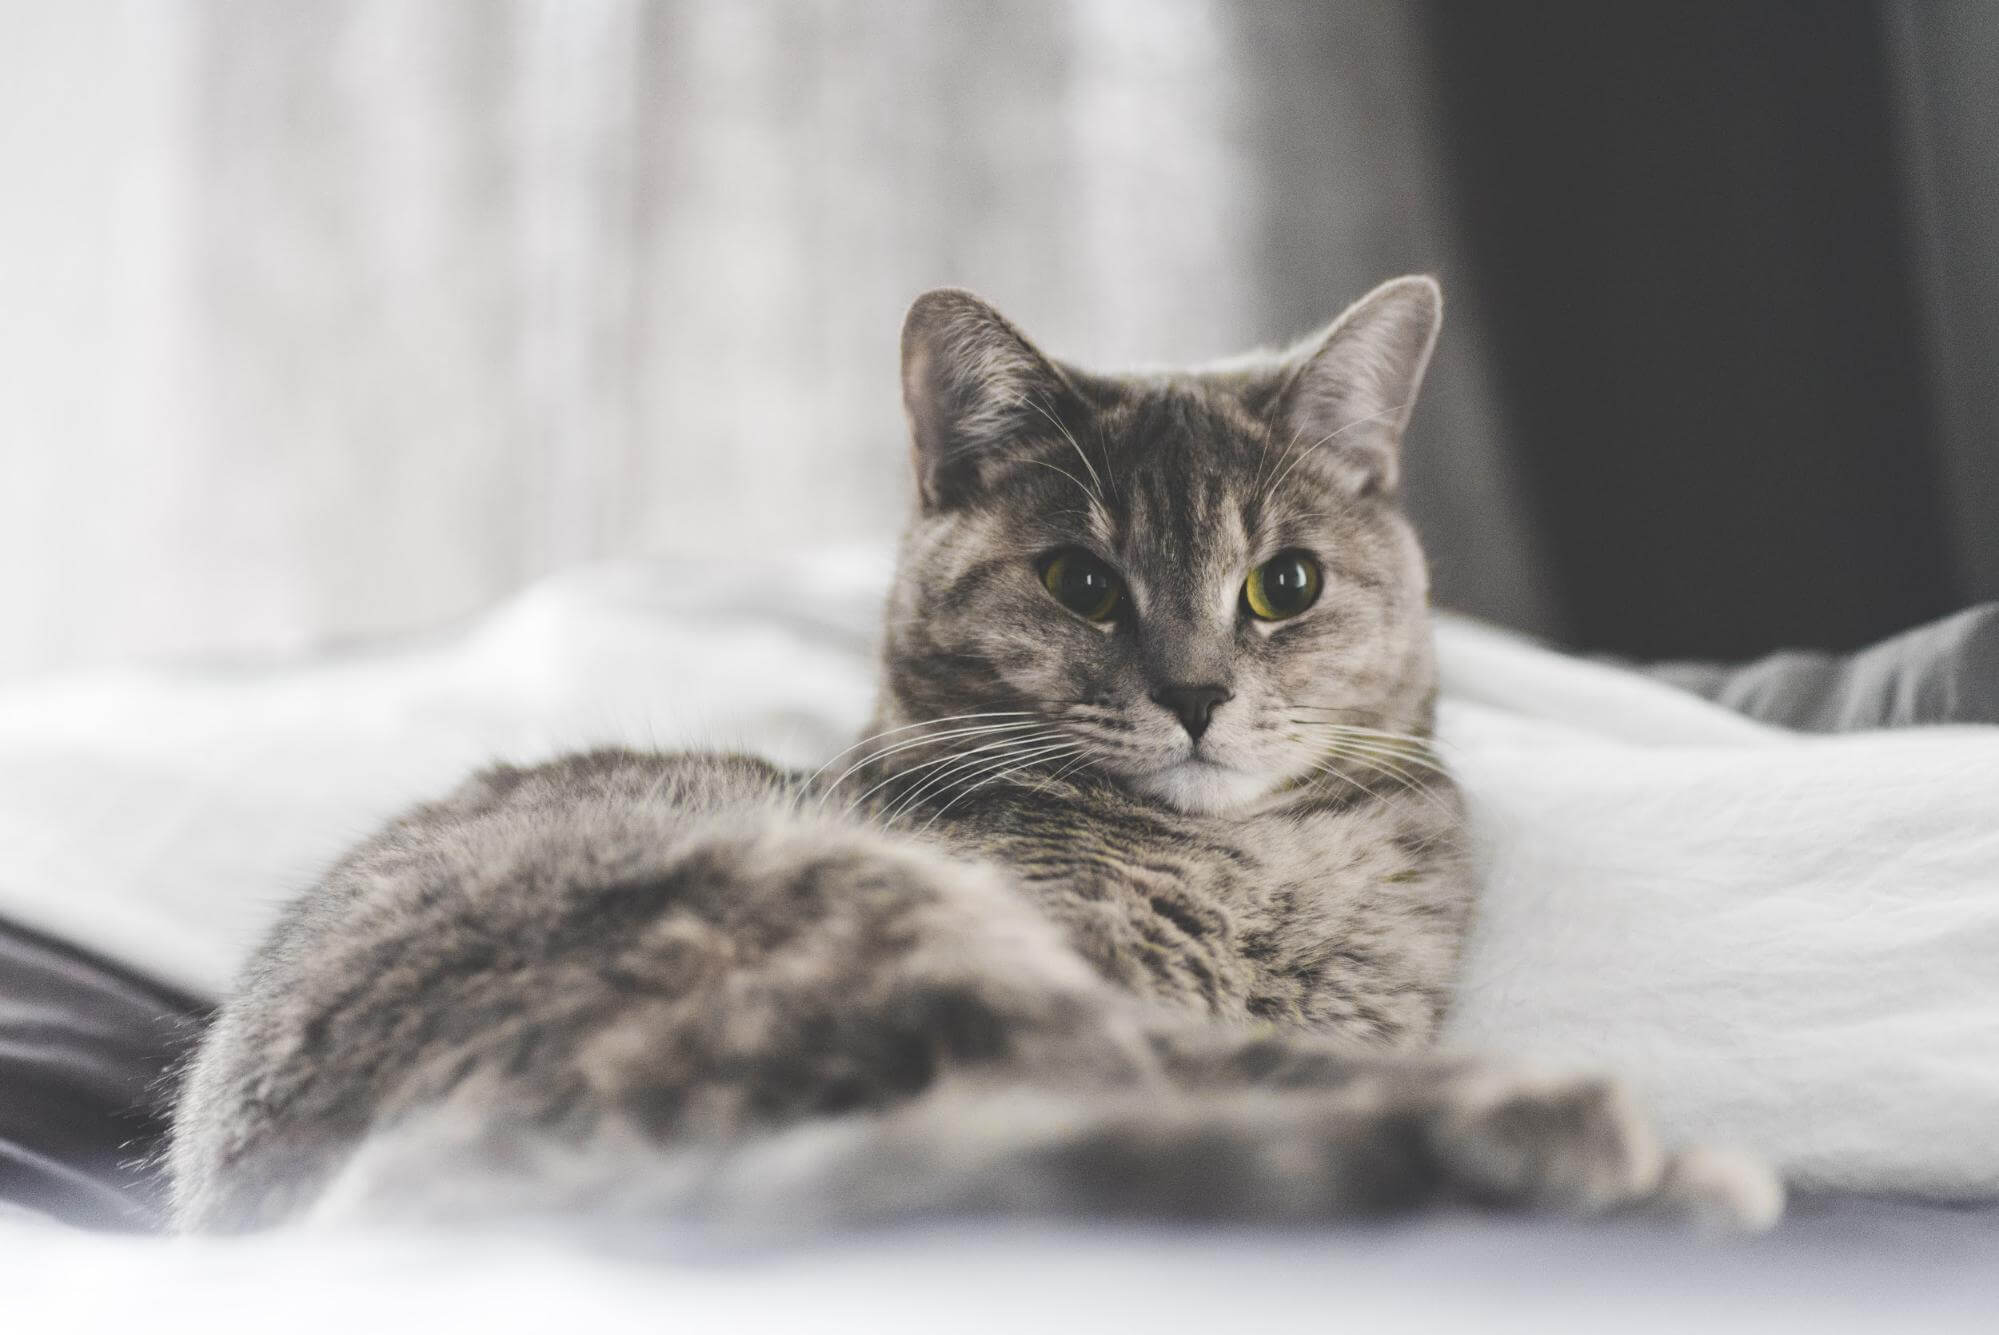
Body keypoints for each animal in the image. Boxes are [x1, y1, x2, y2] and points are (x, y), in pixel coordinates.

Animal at [163, 275, 1775, 1239]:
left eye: (1286, 584)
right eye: (1078, 582)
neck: (1246, 870)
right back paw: (1602, 1144)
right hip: (869, 925)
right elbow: (1255, 1066)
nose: (1195, 693)